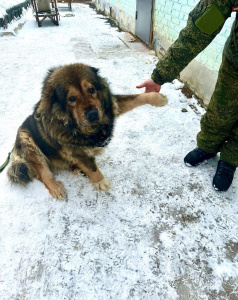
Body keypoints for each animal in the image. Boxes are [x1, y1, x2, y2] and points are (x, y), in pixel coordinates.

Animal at [7, 63, 167, 199]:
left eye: (91, 90)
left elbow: (135, 98)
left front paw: (158, 98)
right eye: (71, 98)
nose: (93, 114)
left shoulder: (109, 107)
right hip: (27, 140)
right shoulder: (77, 150)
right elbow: (93, 168)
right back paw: (56, 187)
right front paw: (101, 182)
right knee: (43, 173)